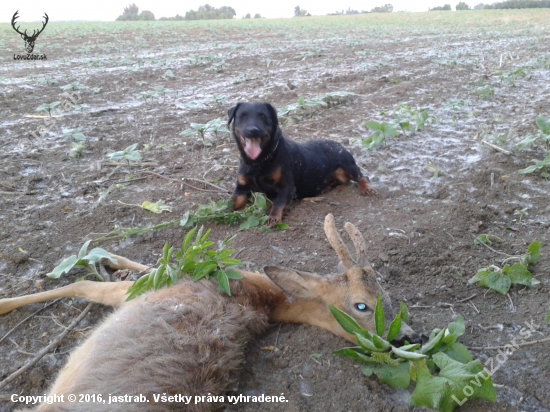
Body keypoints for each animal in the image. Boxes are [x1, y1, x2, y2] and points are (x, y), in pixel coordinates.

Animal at [2, 214, 420, 410]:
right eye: (363, 304)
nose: (408, 337)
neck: (259, 298)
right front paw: (106, 259)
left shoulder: (161, 288)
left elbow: (83, 286)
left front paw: (4, 303)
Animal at [227, 103, 376, 225]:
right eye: (242, 116)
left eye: (263, 116)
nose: (253, 130)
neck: (258, 162)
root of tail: (339, 143)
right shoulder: (241, 188)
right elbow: (232, 201)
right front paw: (224, 211)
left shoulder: (287, 186)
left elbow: (278, 202)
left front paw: (274, 216)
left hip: (347, 164)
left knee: (361, 176)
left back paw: (366, 188)